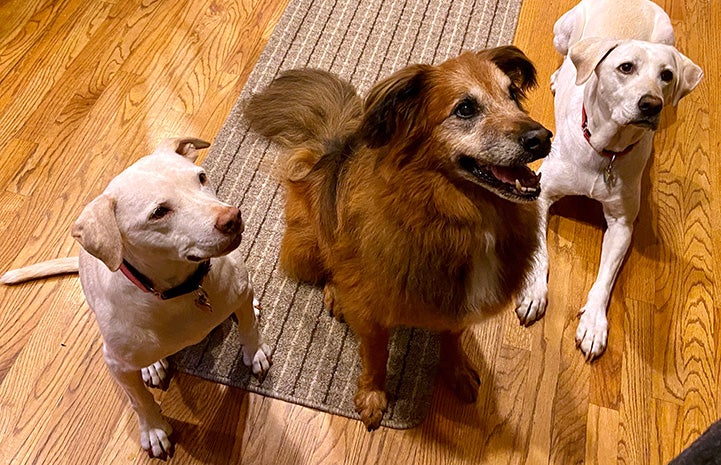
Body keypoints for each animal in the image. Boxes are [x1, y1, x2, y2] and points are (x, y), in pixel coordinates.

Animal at [1, 138, 272, 456]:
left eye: (201, 177)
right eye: (159, 212)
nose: (232, 218)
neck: (182, 290)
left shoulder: (239, 289)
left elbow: (249, 328)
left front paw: (255, 352)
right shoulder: (116, 364)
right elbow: (139, 400)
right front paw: (153, 429)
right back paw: (153, 366)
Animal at [245, 45, 548, 430]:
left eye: (512, 94)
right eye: (465, 108)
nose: (543, 138)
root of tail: (328, 153)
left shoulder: (455, 303)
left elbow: (453, 339)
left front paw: (457, 371)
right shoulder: (372, 310)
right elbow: (376, 356)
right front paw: (373, 396)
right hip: (307, 246)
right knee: (331, 265)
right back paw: (335, 293)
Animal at [516, 0, 700, 358]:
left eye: (667, 75)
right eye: (625, 67)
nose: (652, 104)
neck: (606, 150)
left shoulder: (622, 224)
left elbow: (605, 279)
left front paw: (593, 324)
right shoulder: (540, 193)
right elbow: (541, 252)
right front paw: (534, 291)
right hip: (563, 33)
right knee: (567, 57)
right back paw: (559, 76)